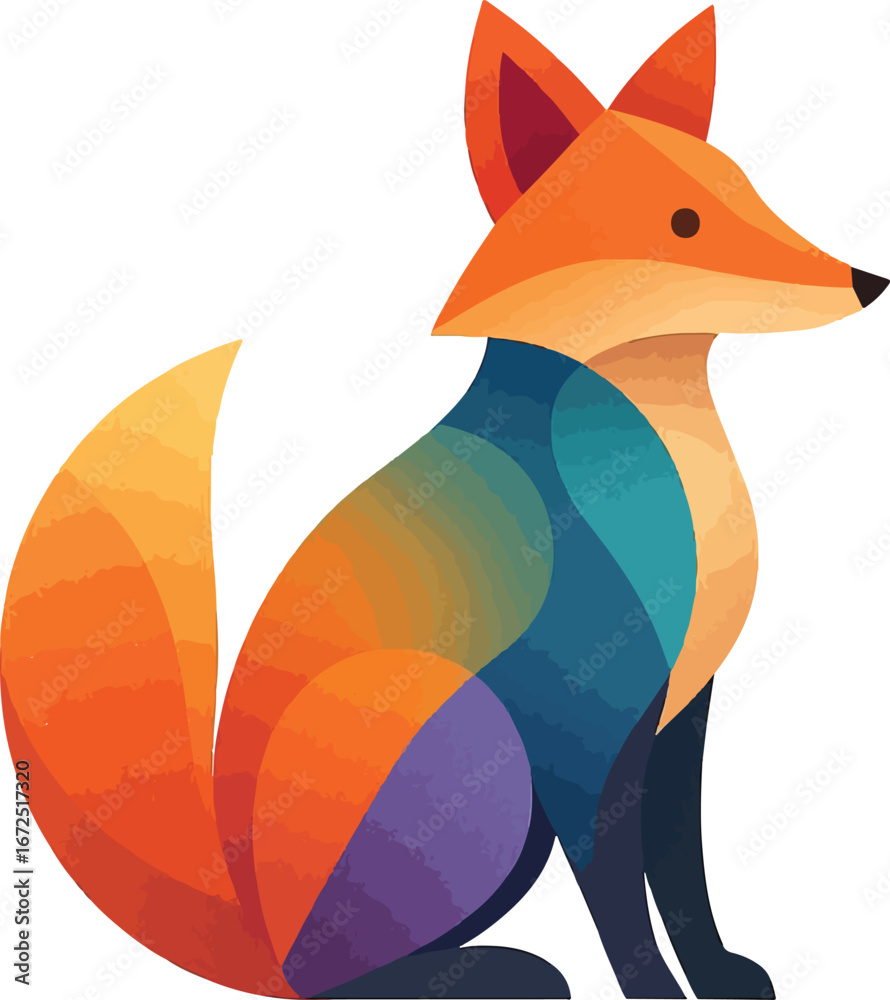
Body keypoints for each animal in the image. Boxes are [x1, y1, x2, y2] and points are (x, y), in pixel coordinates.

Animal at [2, 4, 886, 999]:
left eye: (750, 189)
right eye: (684, 222)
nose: (869, 280)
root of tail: (247, 923)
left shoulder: (680, 716)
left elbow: (683, 875)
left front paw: (722, 977)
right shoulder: (582, 737)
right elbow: (623, 909)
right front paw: (658, 994)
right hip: (471, 743)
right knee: (333, 980)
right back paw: (505, 973)